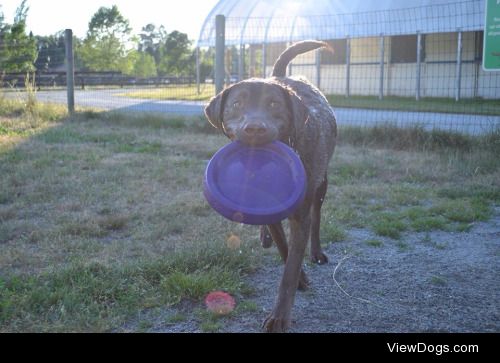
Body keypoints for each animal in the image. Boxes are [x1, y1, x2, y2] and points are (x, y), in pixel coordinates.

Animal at [205, 40, 338, 332]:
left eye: (275, 103)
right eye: (237, 103)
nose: (254, 128)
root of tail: (281, 76)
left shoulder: (300, 214)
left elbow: (291, 263)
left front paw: (279, 316)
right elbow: (284, 247)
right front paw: (300, 277)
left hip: (322, 184)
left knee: (317, 216)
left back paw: (316, 251)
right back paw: (264, 236)